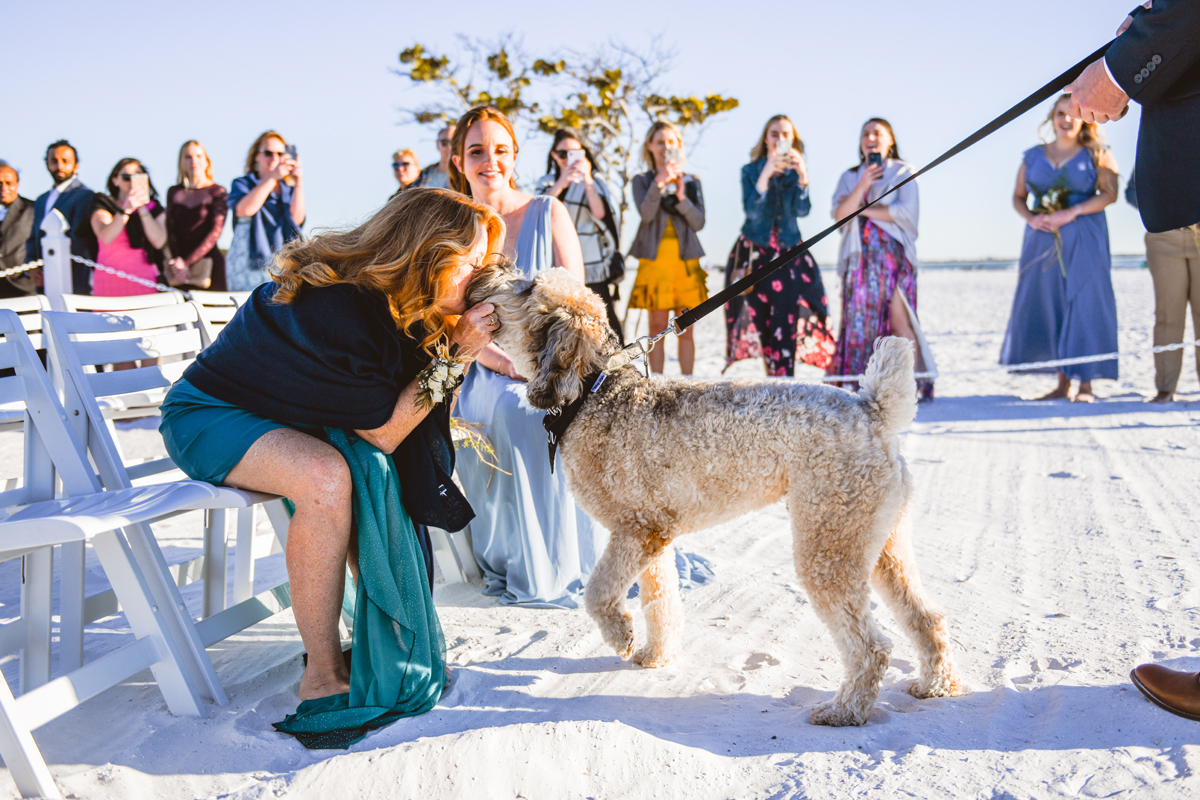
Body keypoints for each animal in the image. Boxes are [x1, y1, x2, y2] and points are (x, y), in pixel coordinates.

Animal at [468, 267, 964, 724]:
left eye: (528, 287)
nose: (489, 270)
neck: (594, 391)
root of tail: (872, 410)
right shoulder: (654, 538)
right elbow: (660, 601)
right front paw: (655, 655)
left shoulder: (634, 532)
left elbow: (598, 593)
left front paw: (621, 635)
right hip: (881, 542)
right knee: (927, 617)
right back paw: (935, 684)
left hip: (829, 547)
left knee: (871, 645)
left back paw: (845, 710)